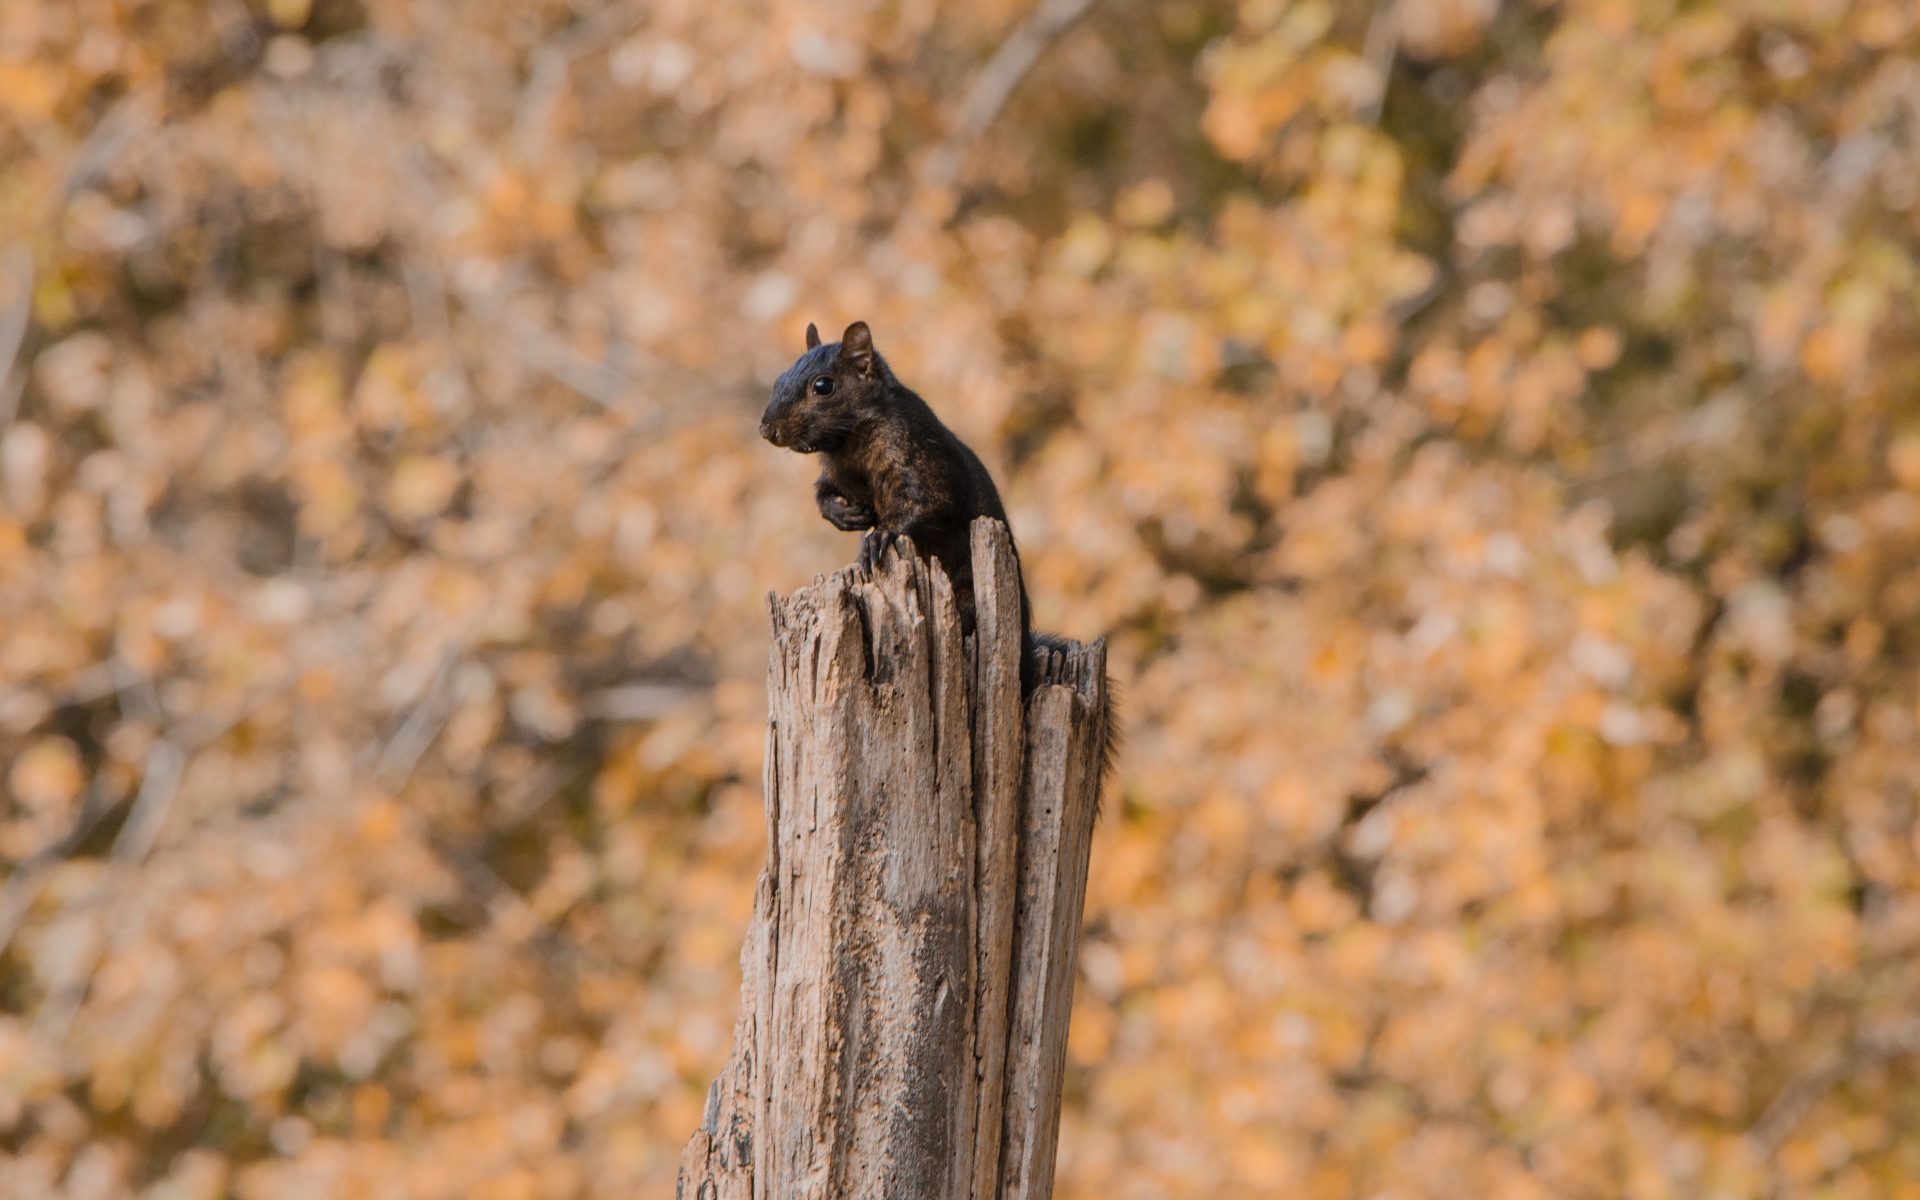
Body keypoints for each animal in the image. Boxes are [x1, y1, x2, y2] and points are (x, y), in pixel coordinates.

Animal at [760, 320, 1117, 786]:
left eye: (823, 386)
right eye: (779, 379)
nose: (767, 429)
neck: (849, 446)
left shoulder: (923, 463)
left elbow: (925, 506)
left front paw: (878, 536)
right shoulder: (838, 475)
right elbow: (823, 495)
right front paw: (848, 515)